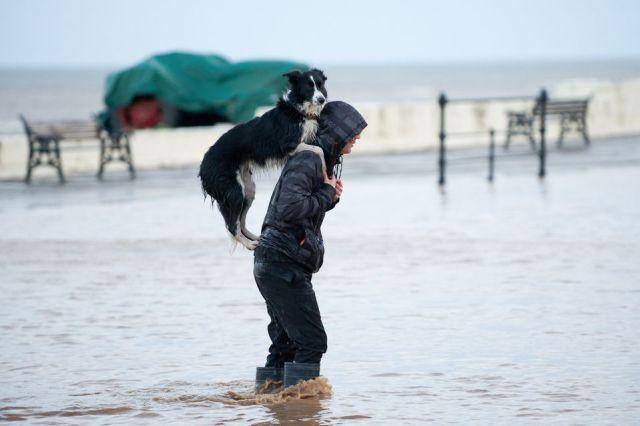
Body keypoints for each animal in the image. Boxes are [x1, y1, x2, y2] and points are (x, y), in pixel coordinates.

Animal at [198, 68, 328, 248]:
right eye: (309, 88)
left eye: (320, 85)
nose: (322, 99)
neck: (298, 109)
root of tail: (203, 166)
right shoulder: (288, 145)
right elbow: (319, 150)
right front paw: (325, 170)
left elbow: (317, 147)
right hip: (234, 191)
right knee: (232, 225)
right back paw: (250, 244)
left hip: (248, 190)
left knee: (241, 222)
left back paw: (256, 239)